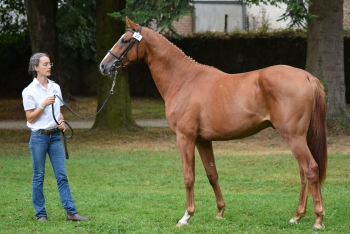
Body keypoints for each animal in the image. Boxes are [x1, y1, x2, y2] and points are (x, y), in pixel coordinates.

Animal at [99, 17, 328, 229]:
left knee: (310, 169)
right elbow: (212, 174)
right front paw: (220, 212)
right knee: (303, 172)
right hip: (299, 137)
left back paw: (318, 219)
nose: (104, 65)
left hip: (293, 136)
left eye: (124, 40)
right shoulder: (203, 140)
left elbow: (189, 176)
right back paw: (297, 216)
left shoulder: (185, 137)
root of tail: (307, 77)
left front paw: (186, 216)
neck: (183, 79)